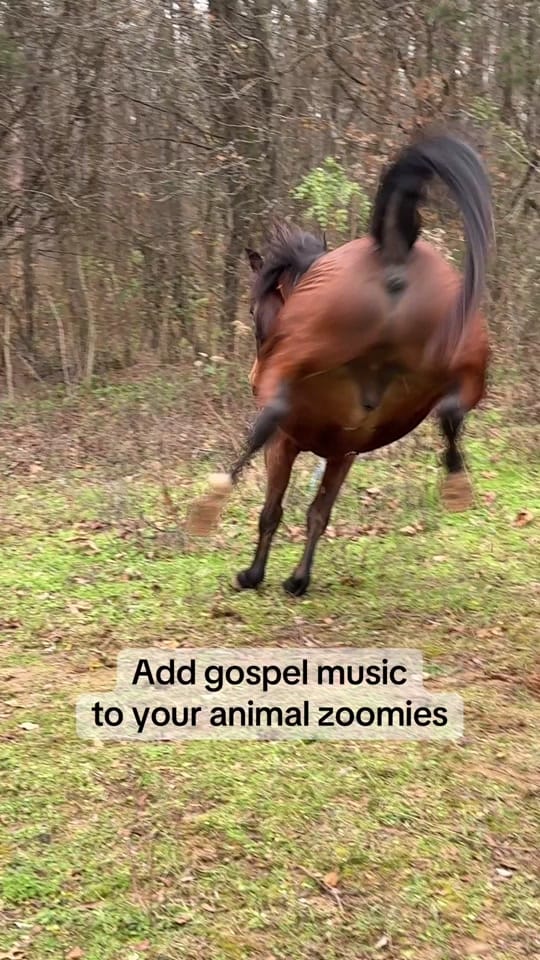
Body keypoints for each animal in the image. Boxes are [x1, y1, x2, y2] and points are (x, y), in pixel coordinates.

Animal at [188, 132, 493, 596]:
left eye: (254, 307)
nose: (254, 369)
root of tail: (393, 251)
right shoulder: (343, 454)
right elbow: (318, 513)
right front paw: (298, 579)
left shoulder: (286, 444)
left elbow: (273, 510)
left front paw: (254, 574)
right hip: (469, 353)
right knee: (454, 412)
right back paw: (457, 483)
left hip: (297, 369)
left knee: (270, 414)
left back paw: (212, 499)